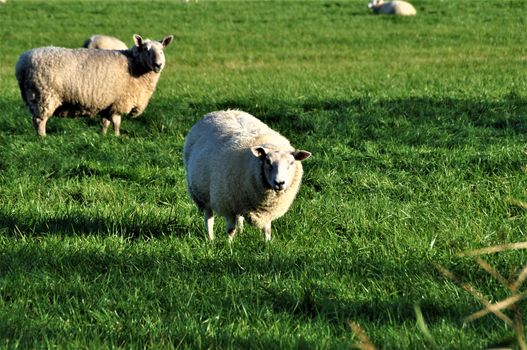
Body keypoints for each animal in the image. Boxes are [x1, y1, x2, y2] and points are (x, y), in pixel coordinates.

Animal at [14, 33, 173, 137]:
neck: (135, 65)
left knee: (35, 119)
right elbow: (116, 123)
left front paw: (103, 136)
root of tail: (22, 64)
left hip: (34, 95)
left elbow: (105, 122)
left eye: (161, 50)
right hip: (44, 95)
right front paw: (117, 137)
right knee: (40, 120)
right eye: (146, 50)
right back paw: (43, 138)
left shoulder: (108, 103)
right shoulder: (119, 102)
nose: (158, 65)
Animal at [184, 110, 312, 242]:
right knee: (209, 218)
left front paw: (267, 243)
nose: (279, 183)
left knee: (239, 217)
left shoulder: (267, 211)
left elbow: (267, 230)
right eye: (268, 162)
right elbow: (230, 229)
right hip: (202, 193)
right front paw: (228, 244)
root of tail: (220, 111)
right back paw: (210, 239)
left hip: (239, 198)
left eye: (291, 163)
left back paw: (240, 232)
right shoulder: (227, 204)